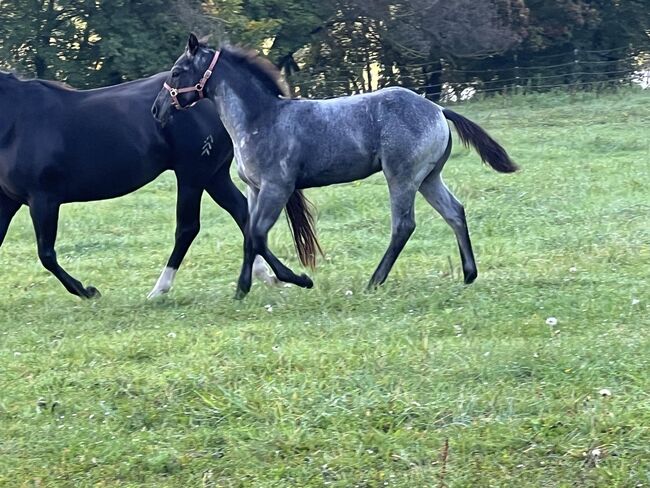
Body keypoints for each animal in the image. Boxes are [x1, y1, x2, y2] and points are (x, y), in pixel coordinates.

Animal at [0, 68, 314, 298]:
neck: (15, 122)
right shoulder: (9, 200)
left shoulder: (43, 199)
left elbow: (46, 254)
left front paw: (87, 291)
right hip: (214, 176)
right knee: (244, 216)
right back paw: (277, 277)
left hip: (192, 174)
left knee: (188, 228)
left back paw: (160, 289)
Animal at [152, 33, 516, 298]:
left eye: (177, 71)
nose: (157, 110)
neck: (261, 118)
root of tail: (438, 109)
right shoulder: (254, 189)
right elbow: (250, 236)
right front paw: (243, 288)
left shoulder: (276, 187)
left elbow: (257, 236)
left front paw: (299, 279)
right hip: (428, 178)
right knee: (454, 212)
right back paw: (468, 274)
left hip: (401, 177)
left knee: (404, 225)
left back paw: (374, 281)